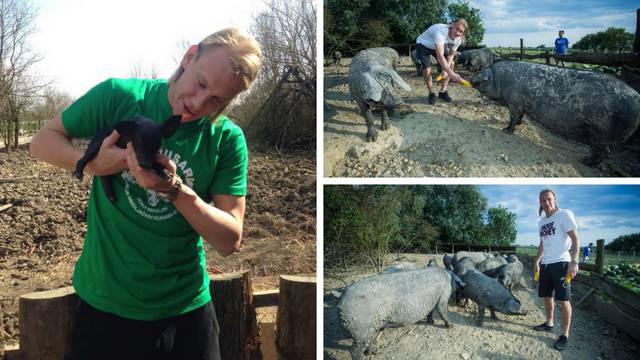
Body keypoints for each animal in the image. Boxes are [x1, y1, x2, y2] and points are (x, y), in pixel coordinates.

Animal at [470, 60, 640, 165]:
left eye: (482, 78)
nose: (471, 78)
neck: (500, 81)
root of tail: (637, 96)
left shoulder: (514, 102)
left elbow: (513, 117)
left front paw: (506, 131)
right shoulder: (520, 105)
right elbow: (520, 116)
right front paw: (518, 124)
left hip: (601, 133)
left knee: (606, 152)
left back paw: (586, 162)